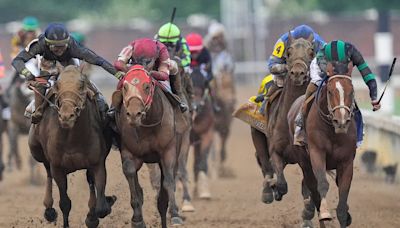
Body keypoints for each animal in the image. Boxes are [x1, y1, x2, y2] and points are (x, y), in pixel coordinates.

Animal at [28, 64, 115, 228]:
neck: (72, 139)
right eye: (57, 85)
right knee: (48, 173)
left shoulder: (97, 163)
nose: (66, 116)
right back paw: (49, 210)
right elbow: (65, 203)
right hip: (38, 152)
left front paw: (96, 213)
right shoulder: (57, 167)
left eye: (81, 84)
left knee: (90, 181)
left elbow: (102, 207)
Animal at [111, 64, 185, 228]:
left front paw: (175, 214)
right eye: (125, 86)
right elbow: (130, 173)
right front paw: (138, 219)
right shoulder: (129, 151)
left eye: (146, 86)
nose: (133, 115)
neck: (148, 125)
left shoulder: (168, 151)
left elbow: (168, 181)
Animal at [288, 62, 356, 228]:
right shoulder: (317, 153)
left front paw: (345, 216)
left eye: (351, 91)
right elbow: (322, 184)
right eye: (330, 91)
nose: (341, 121)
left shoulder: (346, 161)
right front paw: (325, 214)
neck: (333, 131)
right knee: (313, 189)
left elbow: (343, 192)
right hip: (304, 162)